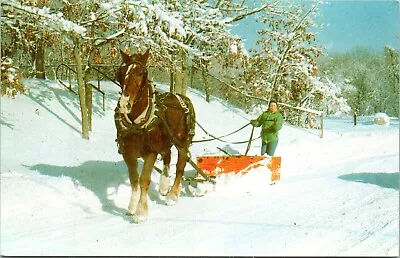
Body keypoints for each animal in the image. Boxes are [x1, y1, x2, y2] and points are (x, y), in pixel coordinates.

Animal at [114, 49, 195, 223]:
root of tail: (183, 98)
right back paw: (164, 185)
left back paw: (172, 195)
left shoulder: (151, 152)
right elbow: (134, 180)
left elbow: (144, 180)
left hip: (182, 141)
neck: (136, 123)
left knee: (180, 165)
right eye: (121, 72)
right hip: (166, 139)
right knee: (167, 155)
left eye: (140, 73)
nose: (124, 104)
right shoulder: (128, 153)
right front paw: (131, 207)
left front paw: (140, 212)